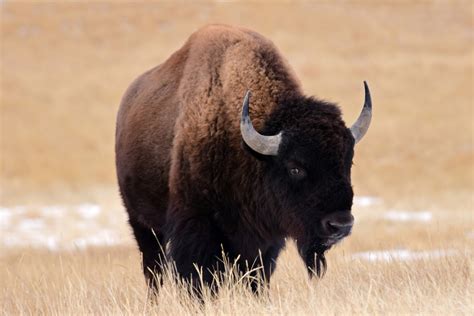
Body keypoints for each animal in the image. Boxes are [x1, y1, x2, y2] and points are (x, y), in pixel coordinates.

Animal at [115, 24, 374, 294]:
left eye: (347, 162)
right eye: (295, 168)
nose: (340, 225)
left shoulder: (263, 242)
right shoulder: (196, 227)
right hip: (143, 225)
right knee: (153, 270)